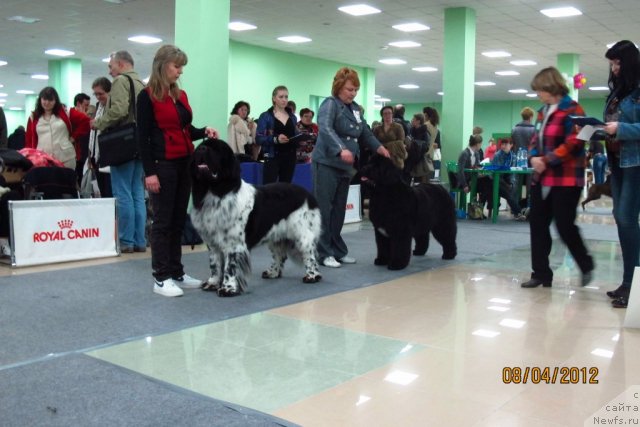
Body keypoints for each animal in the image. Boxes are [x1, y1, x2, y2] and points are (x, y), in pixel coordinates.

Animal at [189, 139, 320, 296]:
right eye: (200, 146)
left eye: (217, 150)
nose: (202, 149)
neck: (216, 193)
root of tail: (308, 195)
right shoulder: (212, 243)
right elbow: (214, 264)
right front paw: (212, 283)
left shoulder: (234, 244)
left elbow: (230, 267)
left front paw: (228, 288)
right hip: (275, 235)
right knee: (279, 255)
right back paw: (272, 272)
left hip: (302, 233)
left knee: (309, 254)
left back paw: (312, 276)